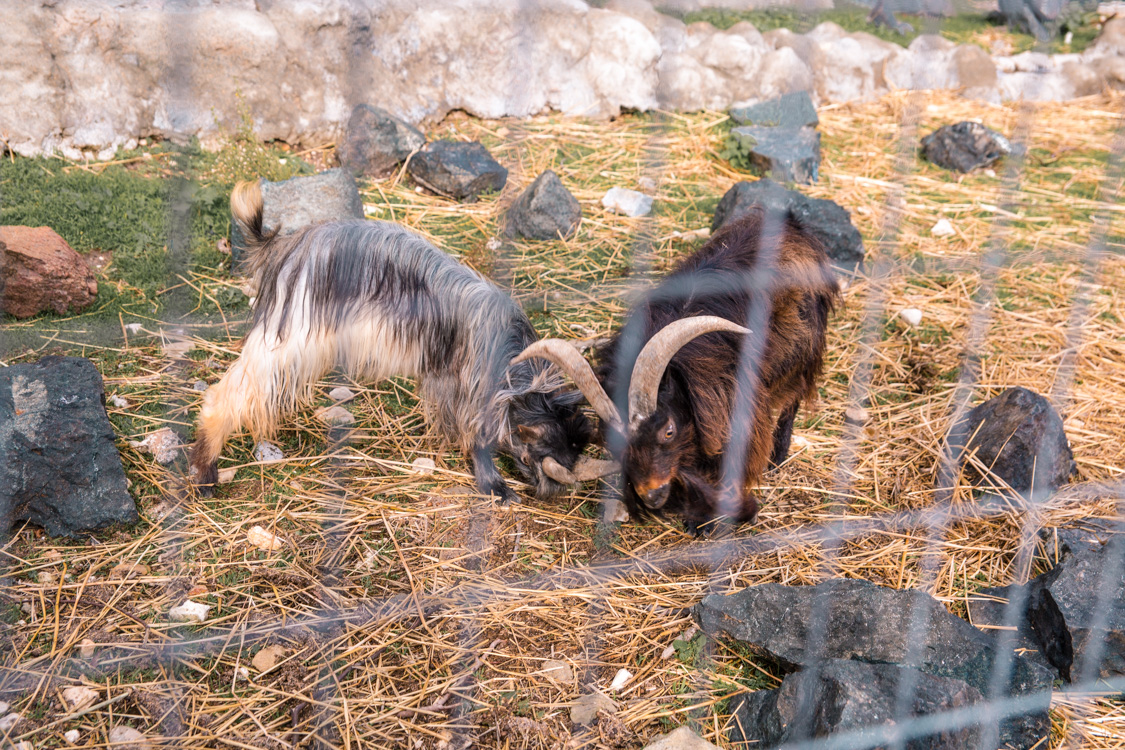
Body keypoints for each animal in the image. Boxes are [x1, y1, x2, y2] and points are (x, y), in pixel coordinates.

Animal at [189, 179, 612, 503]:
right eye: (541, 443)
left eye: (578, 445)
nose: (553, 490)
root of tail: (283, 247)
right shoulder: (477, 384)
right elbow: (478, 434)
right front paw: (495, 487)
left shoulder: (447, 376)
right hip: (292, 336)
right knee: (229, 392)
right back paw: (206, 473)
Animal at [515, 206, 841, 532]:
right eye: (613, 442)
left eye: (668, 430)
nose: (652, 496)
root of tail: (790, 223)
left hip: (803, 350)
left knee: (794, 396)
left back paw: (778, 456)